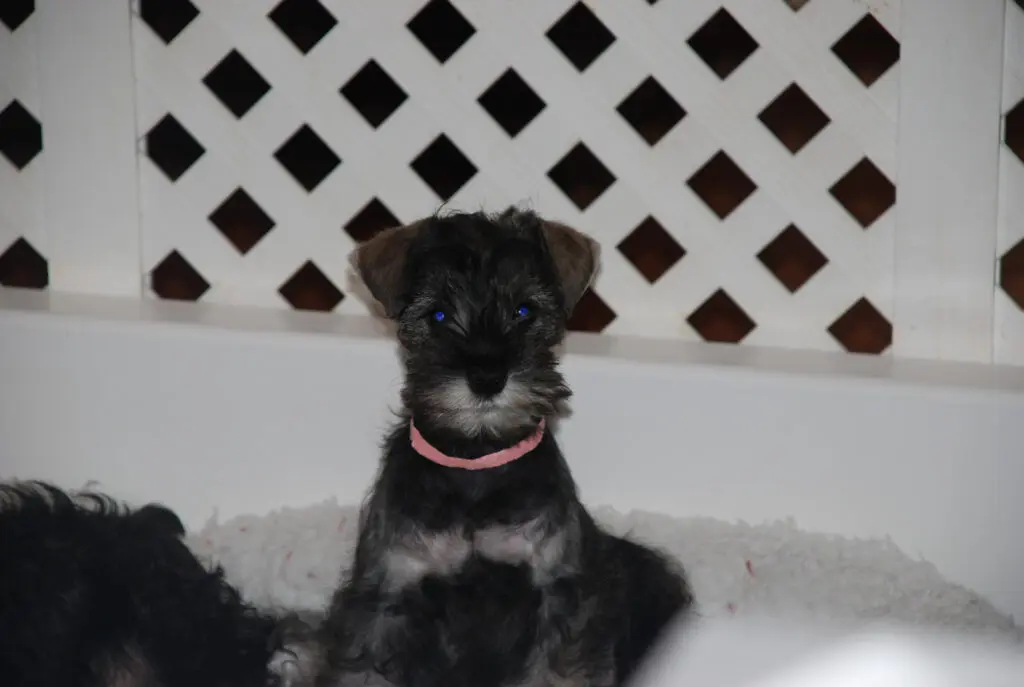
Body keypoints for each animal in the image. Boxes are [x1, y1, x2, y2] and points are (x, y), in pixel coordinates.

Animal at [284, 207, 692, 687]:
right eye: (438, 315)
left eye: (524, 310)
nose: (486, 377)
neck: (476, 462)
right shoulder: (384, 597)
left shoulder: (559, 593)